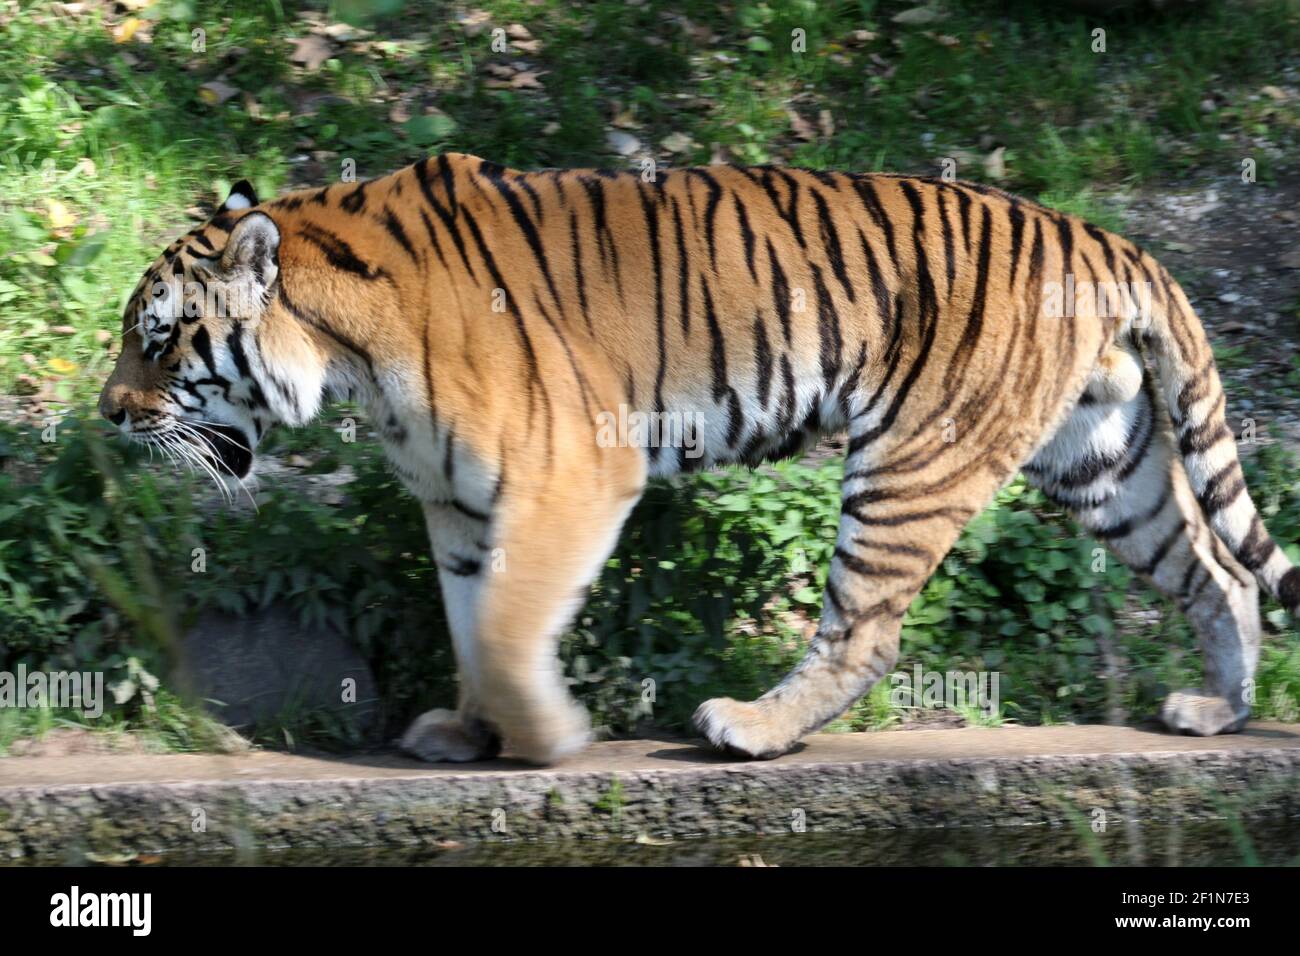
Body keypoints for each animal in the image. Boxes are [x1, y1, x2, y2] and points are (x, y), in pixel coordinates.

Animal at [97, 152, 1300, 764]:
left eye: (157, 338)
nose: (107, 414)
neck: (344, 349)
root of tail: (1102, 235)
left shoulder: (571, 472)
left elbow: (508, 625)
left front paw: (545, 738)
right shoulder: (457, 502)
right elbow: (472, 619)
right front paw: (468, 729)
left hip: (914, 461)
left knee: (865, 629)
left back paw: (749, 726)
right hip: (1102, 465)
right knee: (1218, 570)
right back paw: (1221, 712)